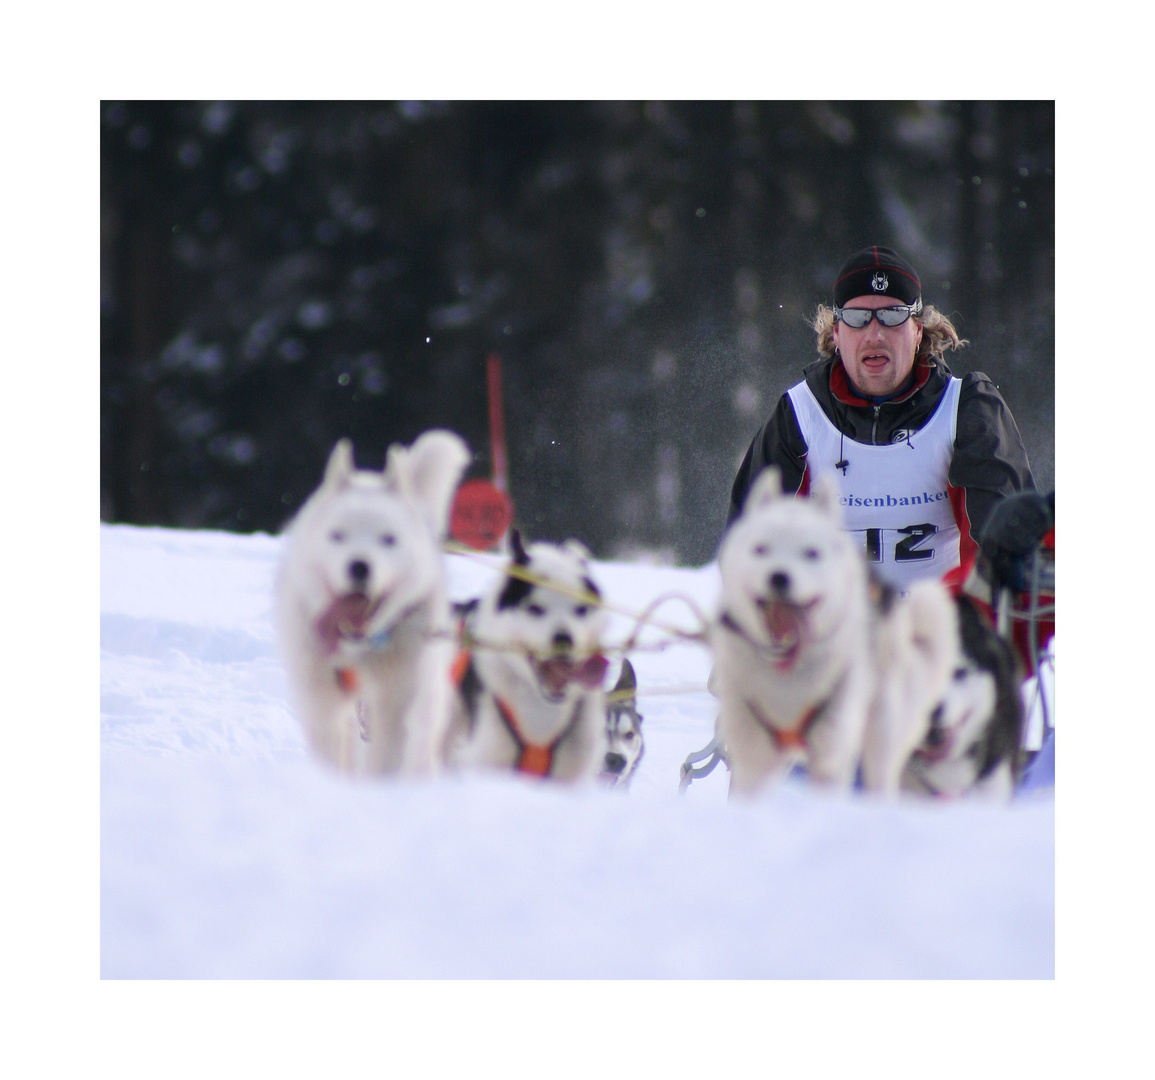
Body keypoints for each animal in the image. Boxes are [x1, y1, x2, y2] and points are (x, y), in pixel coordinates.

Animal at [274, 429, 468, 776]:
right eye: (337, 535)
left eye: (388, 539)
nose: (360, 566)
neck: (357, 649)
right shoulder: (322, 704)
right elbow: (331, 751)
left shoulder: (396, 700)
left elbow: (387, 759)